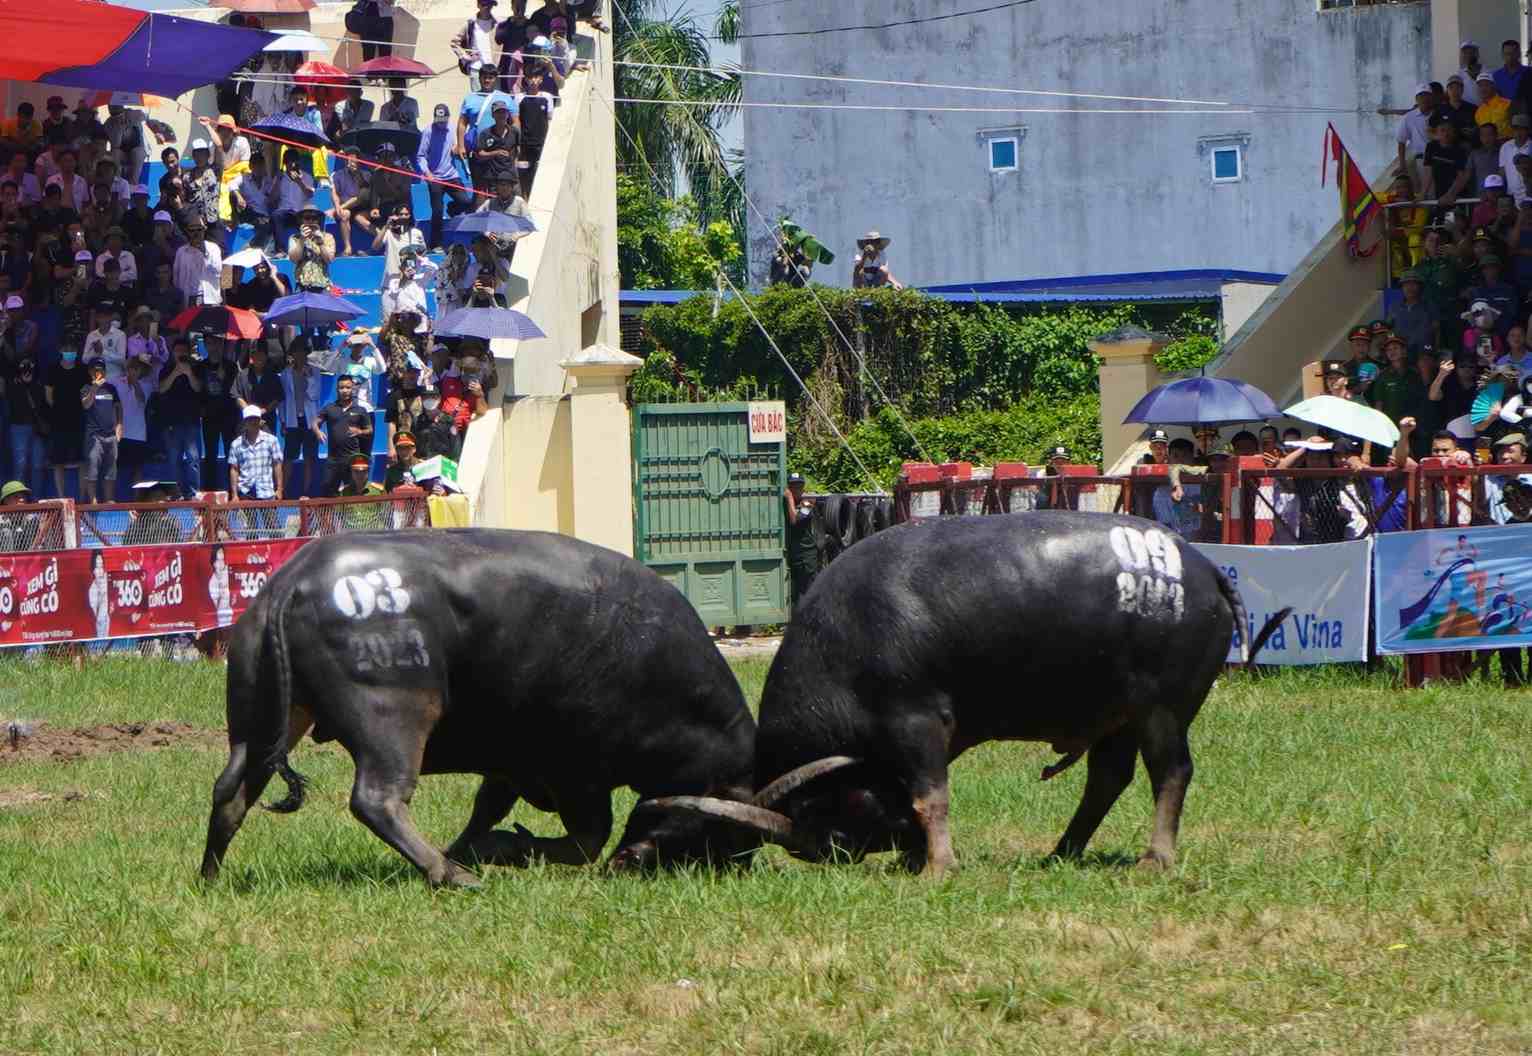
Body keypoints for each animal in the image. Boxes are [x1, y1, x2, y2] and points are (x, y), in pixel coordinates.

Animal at [197, 530, 759, 882]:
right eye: (724, 830)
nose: (738, 865)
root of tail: (292, 584)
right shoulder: (576, 773)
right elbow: (587, 840)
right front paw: (492, 852)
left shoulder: (512, 764)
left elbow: (487, 809)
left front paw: (476, 846)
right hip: (394, 717)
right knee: (376, 799)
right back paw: (449, 875)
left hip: (259, 718)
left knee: (232, 791)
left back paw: (210, 876)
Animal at [615, 511, 1286, 870]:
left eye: (819, 816)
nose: (834, 852)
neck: (850, 640)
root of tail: (1203, 569)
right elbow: (916, 795)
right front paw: (918, 857)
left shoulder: (918, 722)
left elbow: (929, 796)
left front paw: (937, 864)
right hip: (1116, 715)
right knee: (1107, 779)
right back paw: (1062, 852)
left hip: (1162, 710)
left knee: (1171, 773)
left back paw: (1156, 857)